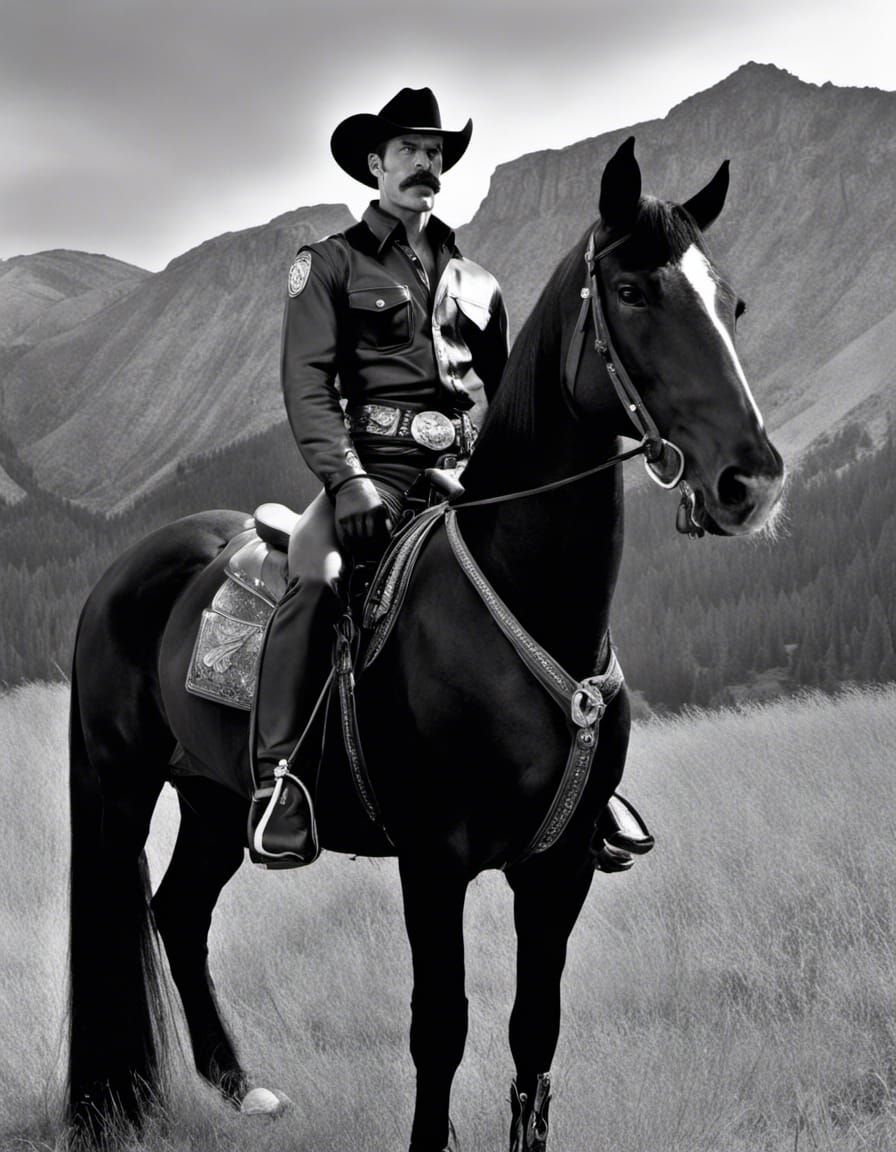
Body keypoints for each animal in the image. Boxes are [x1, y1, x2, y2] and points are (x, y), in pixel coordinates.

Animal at [67, 136, 784, 1151]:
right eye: (634, 291)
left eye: (732, 302)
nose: (749, 483)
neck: (522, 601)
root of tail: (130, 569)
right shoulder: (433, 865)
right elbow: (440, 1028)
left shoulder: (559, 867)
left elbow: (534, 1034)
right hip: (124, 786)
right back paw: (114, 1102)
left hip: (210, 797)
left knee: (180, 911)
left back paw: (240, 1085)